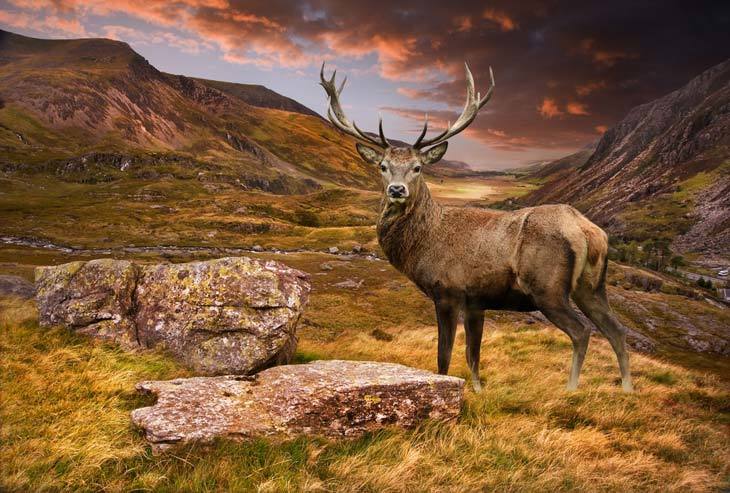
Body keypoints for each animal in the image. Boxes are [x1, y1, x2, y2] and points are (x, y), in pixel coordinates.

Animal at [319, 62, 633, 393]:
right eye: (383, 166)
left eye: (418, 167)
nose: (396, 189)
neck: (425, 243)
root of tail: (588, 231)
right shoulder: (476, 302)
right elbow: (473, 355)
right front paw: (478, 390)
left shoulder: (447, 290)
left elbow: (444, 356)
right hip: (592, 287)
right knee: (617, 330)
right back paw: (627, 390)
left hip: (548, 288)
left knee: (582, 332)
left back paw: (571, 388)